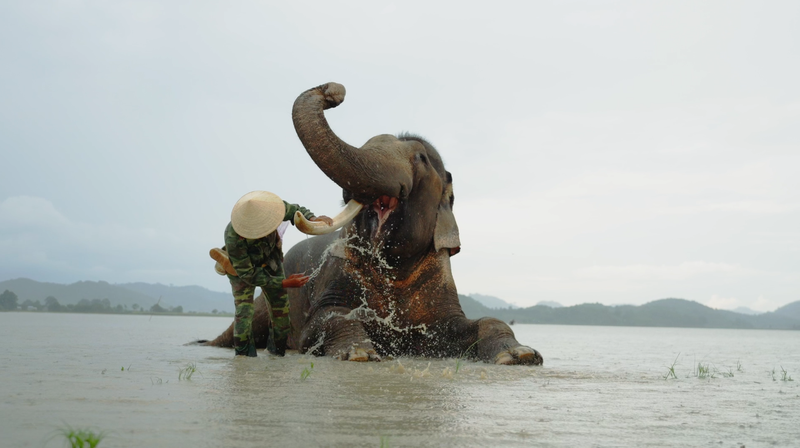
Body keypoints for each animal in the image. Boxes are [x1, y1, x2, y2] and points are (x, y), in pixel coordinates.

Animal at [203, 82, 543, 365]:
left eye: (421, 158)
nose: (333, 92)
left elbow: (467, 324)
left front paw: (521, 355)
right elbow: (327, 318)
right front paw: (360, 354)